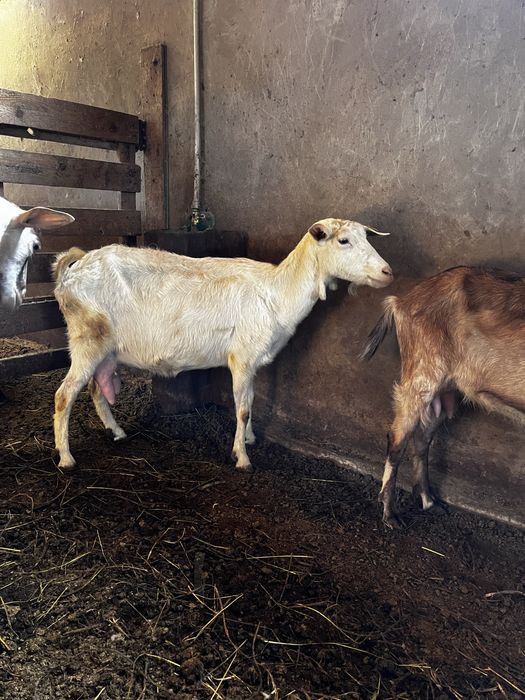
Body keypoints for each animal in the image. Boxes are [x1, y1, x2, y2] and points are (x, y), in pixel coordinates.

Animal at [53, 218, 393, 471]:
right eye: (343, 241)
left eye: (366, 237)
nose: (387, 271)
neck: (277, 291)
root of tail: (73, 267)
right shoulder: (241, 357)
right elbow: (241, 409)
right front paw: (242, 457)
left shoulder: (252, 361)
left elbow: (250, 401)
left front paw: (251, 438)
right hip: (87, 339)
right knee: (64, 395)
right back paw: (66, 458)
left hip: (105, 349)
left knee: (96, 389)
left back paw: (118, 433)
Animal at [362, 266, 525, 527]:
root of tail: (400, 301)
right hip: (420, 376)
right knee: (397, 439)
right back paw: (391, 514)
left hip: (443, 391)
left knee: (422, 438)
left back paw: (429, 501)